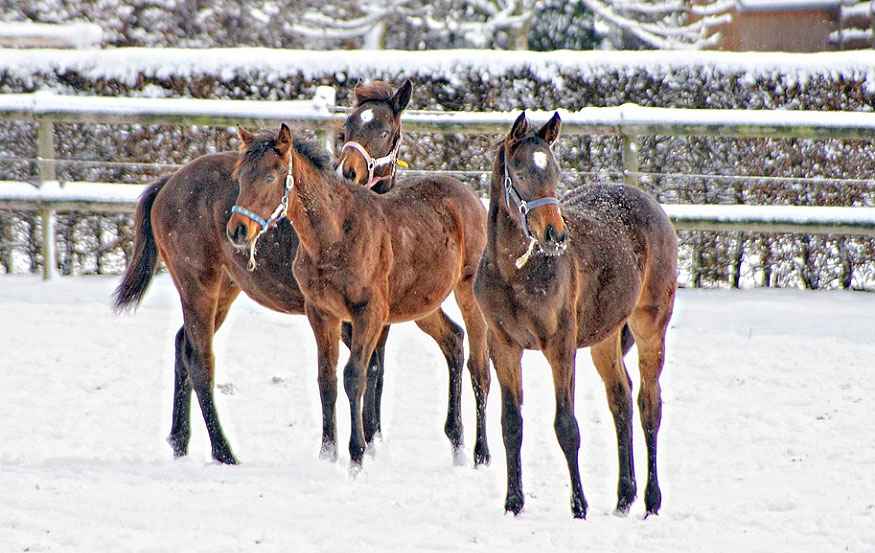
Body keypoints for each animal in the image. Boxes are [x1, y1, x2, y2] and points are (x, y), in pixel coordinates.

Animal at [114, 85, 414, 466]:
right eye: (347, 125)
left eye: (385, 130)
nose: (349, 171)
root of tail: (169, 182)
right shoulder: (340, 315)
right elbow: (353, 373)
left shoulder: (377, 316)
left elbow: (375, 371)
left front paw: (373, 441)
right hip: (198, 286)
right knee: (200, 361)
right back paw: (223, 451)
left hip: (225, 290)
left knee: (183, 345)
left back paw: (180, 442)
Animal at [228, 123, 492, 468]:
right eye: (240, 176)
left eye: (271, 177)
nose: (237, 230)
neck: (335, 235)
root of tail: (471, 197)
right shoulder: (321, 313)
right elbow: (326, 379)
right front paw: (327, 455)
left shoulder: (369, 314)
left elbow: (355, 377)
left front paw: (357, 456)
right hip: (421, 302)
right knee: (453, 341)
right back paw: (457, 443)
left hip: (466, 292)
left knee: (479, 367)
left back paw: (481, 453)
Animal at [476, 112, 680, 516]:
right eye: (519, 172)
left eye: (555, 171)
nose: (555, 235)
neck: (514, 272)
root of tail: (651, 206)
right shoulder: (502, 346)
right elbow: (511, 424)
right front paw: (513, 503)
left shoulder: (560, 346)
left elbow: (566, 426)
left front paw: (579, 506)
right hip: (605, 337)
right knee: (620, 398)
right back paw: (623, 497)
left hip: (650, 326)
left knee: (648, 405)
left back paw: (651, 502)